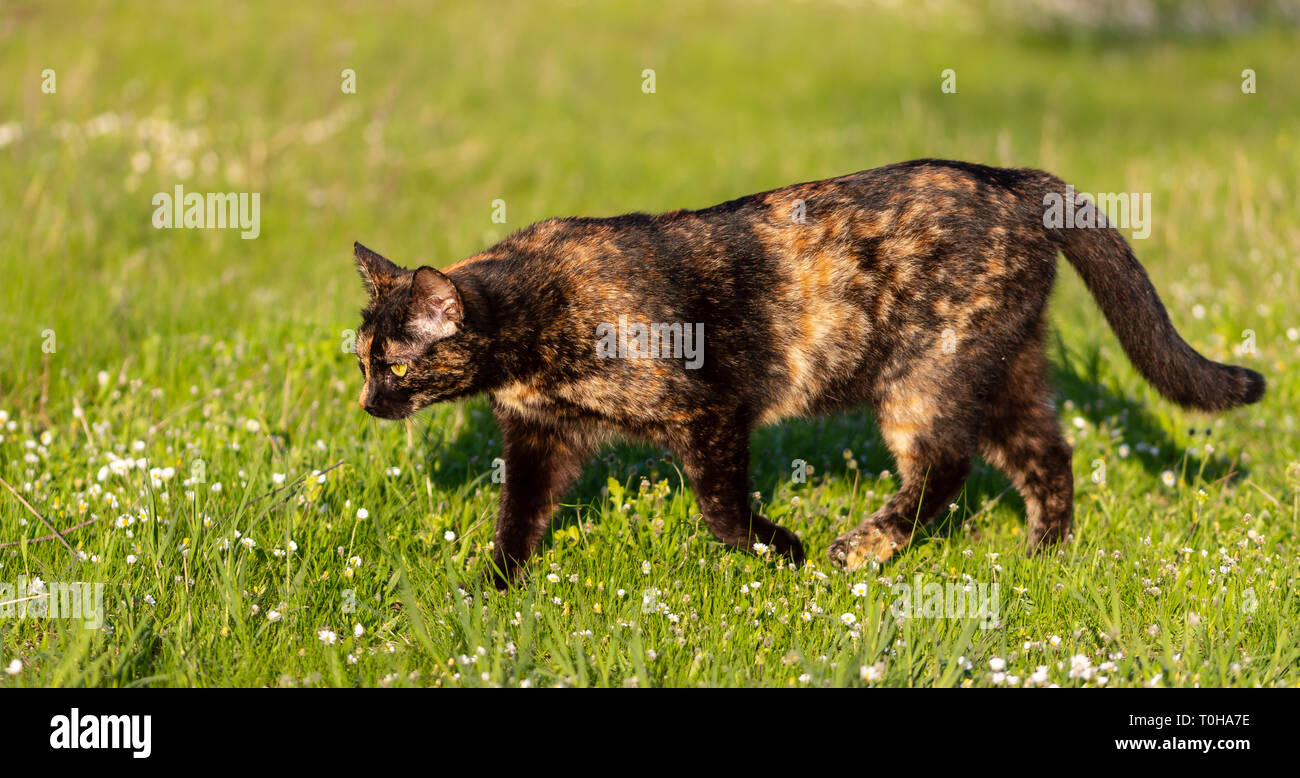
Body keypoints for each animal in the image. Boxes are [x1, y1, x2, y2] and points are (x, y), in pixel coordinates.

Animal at [351, 158, 1263, 588]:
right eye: (361, 359)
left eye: (394, 361)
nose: (366, 402)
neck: (535, 326)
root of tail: (1012, 180)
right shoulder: (541, 439)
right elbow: (516, 521)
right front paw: (489, 594)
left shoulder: (711, 410)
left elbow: (722, 512)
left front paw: (780, 549)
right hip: (1002, 367)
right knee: (1047, 454)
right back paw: (1044, 558)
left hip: (926, 378)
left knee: (946, 466)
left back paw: (860, 548)